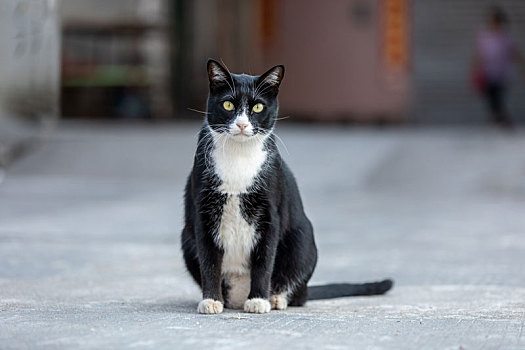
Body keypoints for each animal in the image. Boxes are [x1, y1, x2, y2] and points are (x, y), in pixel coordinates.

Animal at [182, 60, 390, 314]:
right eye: (228, 104)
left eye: (258, 107)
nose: (241, 124)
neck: (238, 157)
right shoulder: (203, 210)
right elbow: (209, 260)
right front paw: (211, 300)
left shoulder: (271, 211)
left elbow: (264, 260)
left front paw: (258, 300)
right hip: (186, 239)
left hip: (302, 239)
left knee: (297, 291)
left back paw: (275, 298)